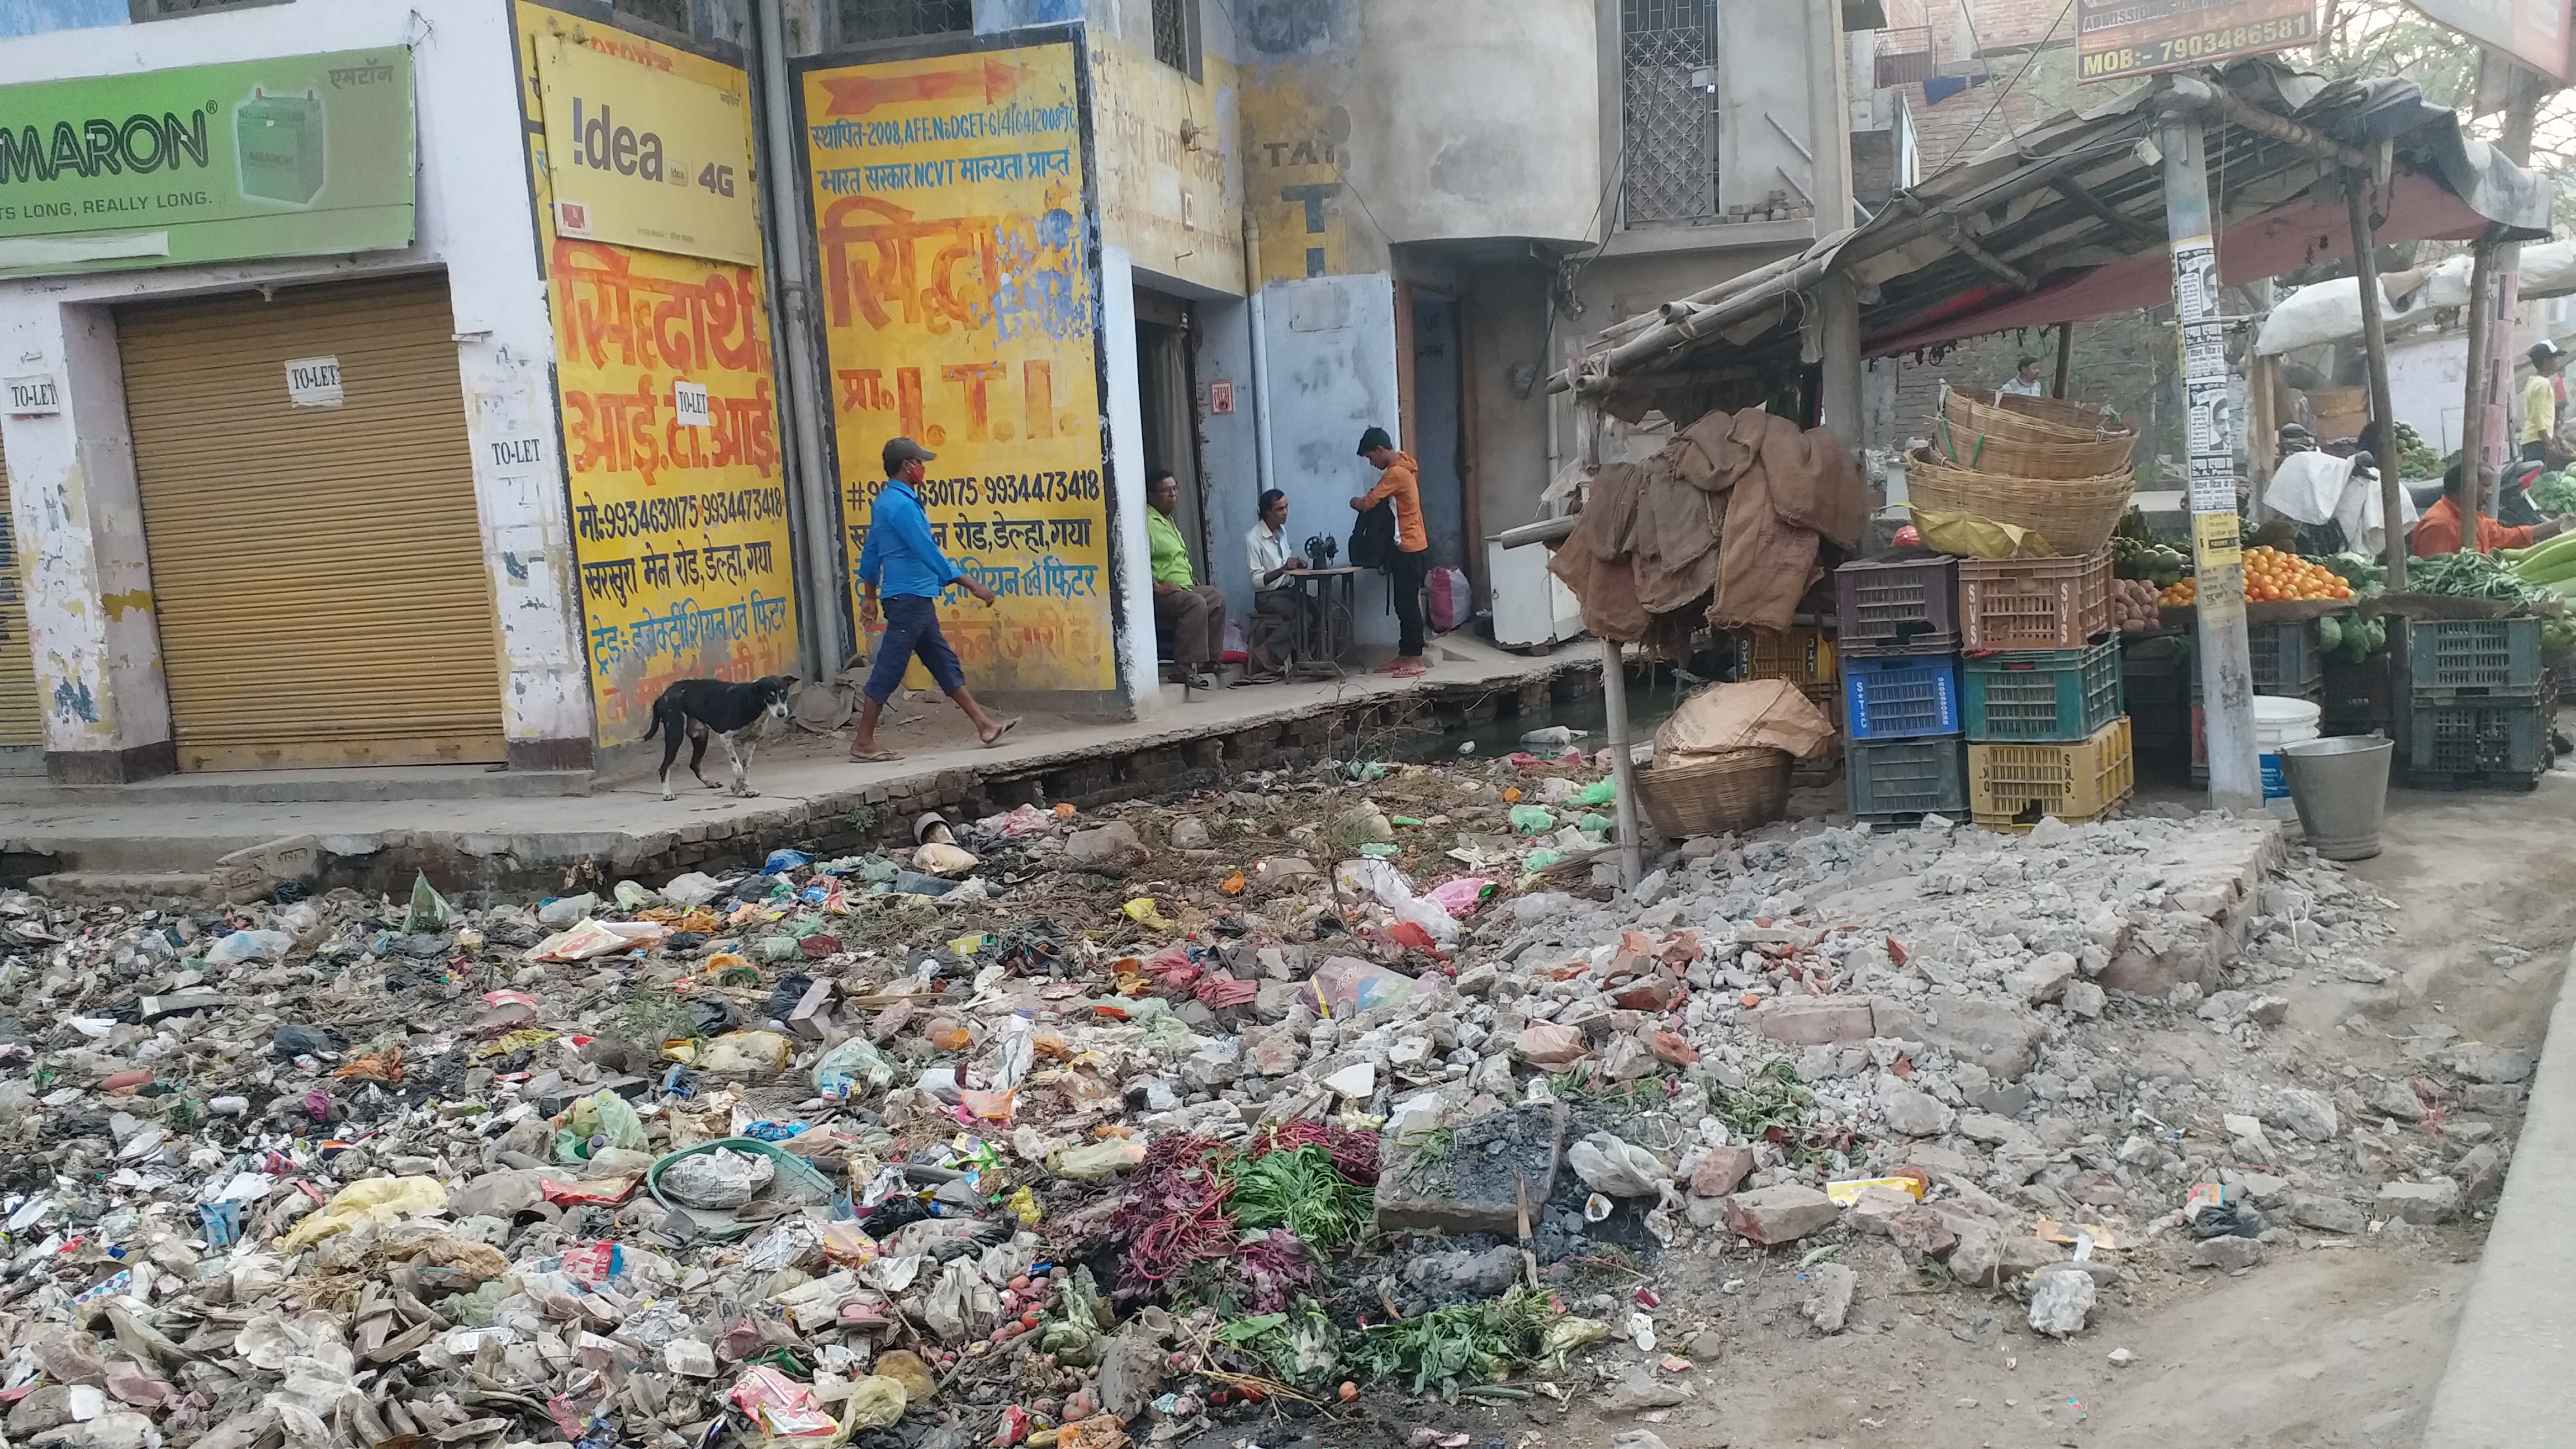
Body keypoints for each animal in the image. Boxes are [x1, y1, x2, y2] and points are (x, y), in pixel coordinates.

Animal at [641, 675, 793, 799]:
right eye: (770, 695)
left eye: (784, 693)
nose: (782, 714)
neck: (753, 701)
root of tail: (662, 695)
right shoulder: (725, 737)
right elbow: (738, 768)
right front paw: (736, 788)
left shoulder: (751, 741)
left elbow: (746, 769)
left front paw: (747, 790)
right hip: (676, 735)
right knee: (664, 767)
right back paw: (667, 793)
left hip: (701, 737)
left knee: (695, 764)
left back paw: (710, 783)